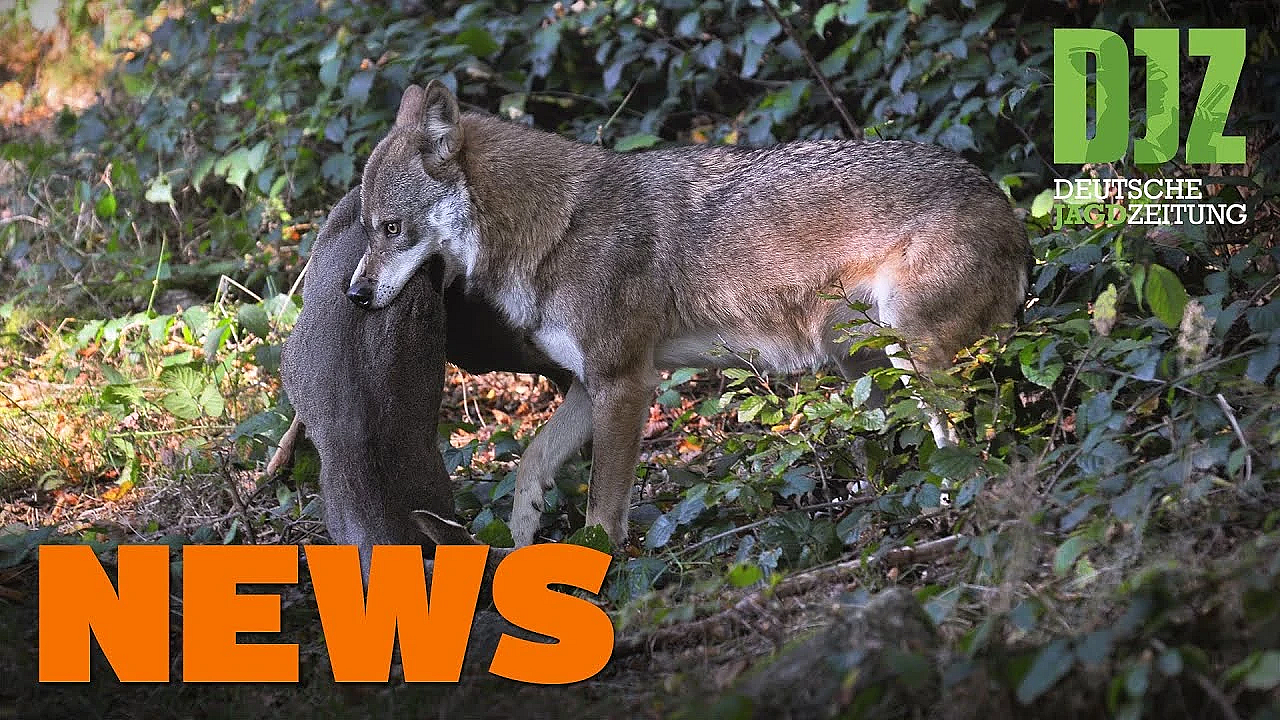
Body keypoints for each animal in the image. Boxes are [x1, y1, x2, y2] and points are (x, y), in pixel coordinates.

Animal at [348, 80, 1031, 547]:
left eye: (391, 228)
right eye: (368, 228)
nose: (355, 295)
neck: (554, 229)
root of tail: (1006, 205)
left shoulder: (626, 384)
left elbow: (602, 510)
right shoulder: (588, 384)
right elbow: (530, 464)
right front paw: (519, 537)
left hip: (912, 352)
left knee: (964, 438)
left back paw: (947, 507)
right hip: (862, 367)